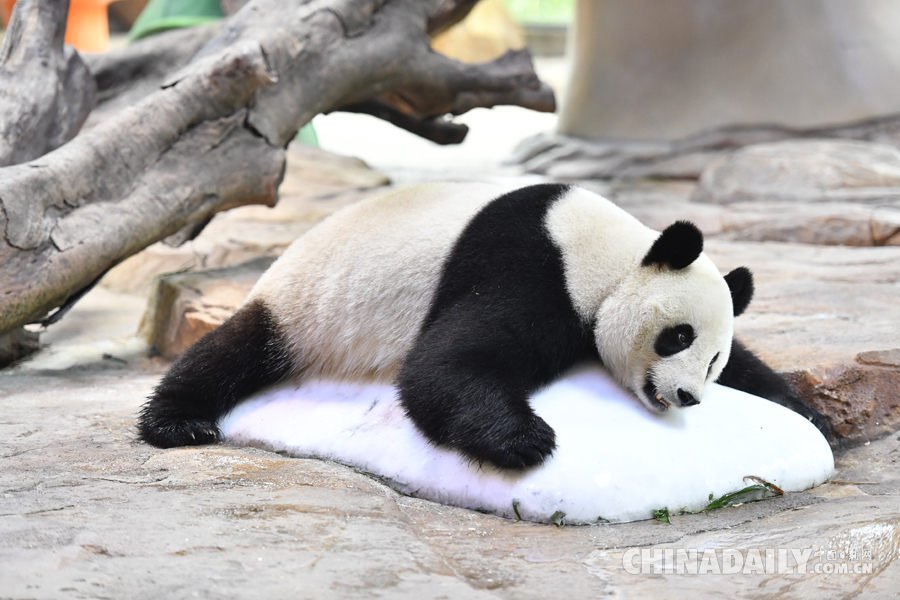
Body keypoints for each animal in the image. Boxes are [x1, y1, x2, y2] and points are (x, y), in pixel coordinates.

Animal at [135, 183, 828, 468]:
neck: (609, 252)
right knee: (236, 351)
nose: (686, 395)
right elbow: (449, 362)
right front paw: (526, 441)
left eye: (711, 361)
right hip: (302, 308)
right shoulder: (531, 264)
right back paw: (177, 423)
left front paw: (809, 410)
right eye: (676, 336)